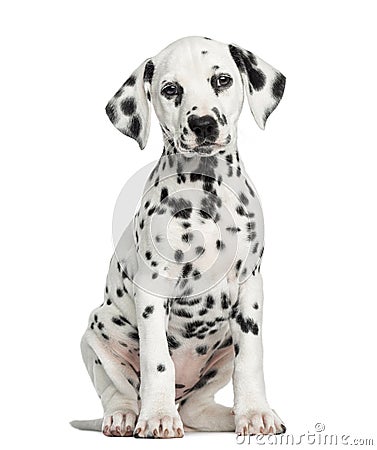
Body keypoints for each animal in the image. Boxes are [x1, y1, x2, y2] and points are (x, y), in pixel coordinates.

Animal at [70, 37, 284, 438]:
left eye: (222, 80)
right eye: (171, 90)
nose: (203, 124)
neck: (205, 190)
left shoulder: (250, 286)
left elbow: (251, 358)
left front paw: (255, 413)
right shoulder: (153, 289)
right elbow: (158, 362)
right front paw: (157, 417)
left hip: (220, 350)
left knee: (198, 408)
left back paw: (226, 416)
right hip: (97, 334)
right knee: (118, 392)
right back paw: (125, 417)